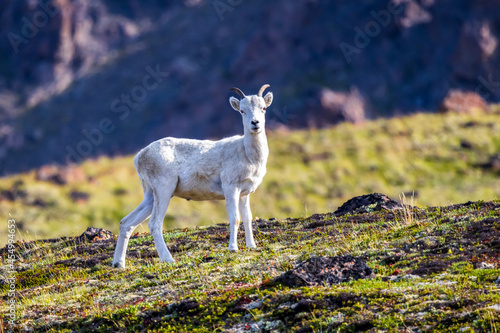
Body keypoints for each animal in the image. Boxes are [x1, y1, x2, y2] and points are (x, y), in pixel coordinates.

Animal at [112, 83, 274, 268]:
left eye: (263, 108)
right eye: (242, 111)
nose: (255, 123)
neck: (248, 154)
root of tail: (139, 156)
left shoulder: (244, 194)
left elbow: (247, 218)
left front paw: (251, 246)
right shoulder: (231, 188)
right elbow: (235, 218)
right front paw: (233, 248)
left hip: (150, 196)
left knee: (126, 223)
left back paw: (119, 264)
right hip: (163, 190)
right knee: (154, 224)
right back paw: (168, 259)